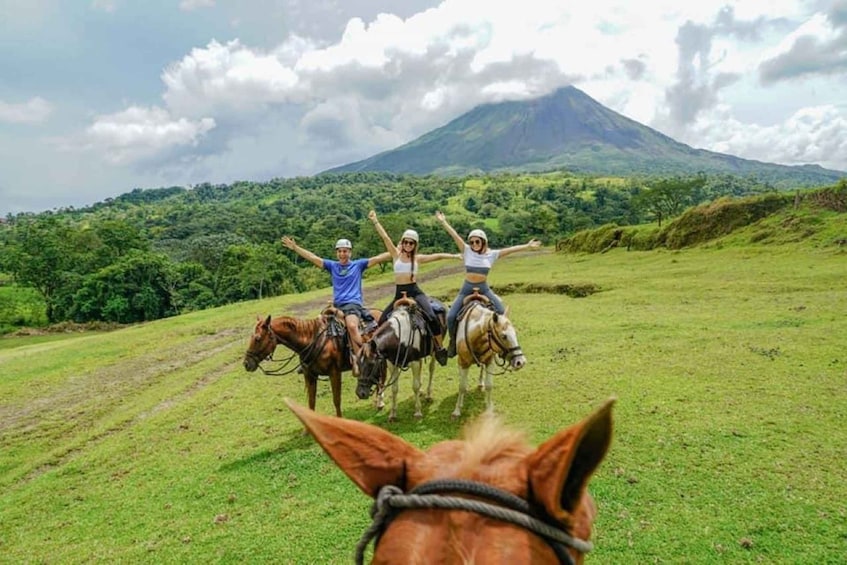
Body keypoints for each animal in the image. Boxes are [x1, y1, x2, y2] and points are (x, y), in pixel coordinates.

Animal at [242, 306, 380, 416]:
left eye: (258, 338)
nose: (246, 363)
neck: (312, 340)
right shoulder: (310, 375)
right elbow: (311, 401)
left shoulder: (334, 373)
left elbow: (336, 399)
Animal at [450, 290, 524, 418]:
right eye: (503, 336)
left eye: (515, 333)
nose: (520, 362)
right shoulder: (463, 362)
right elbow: (462, 386)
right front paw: (457, 410)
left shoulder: (490, 361)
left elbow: (489, 385)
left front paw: (489, 408)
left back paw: (481, 383)